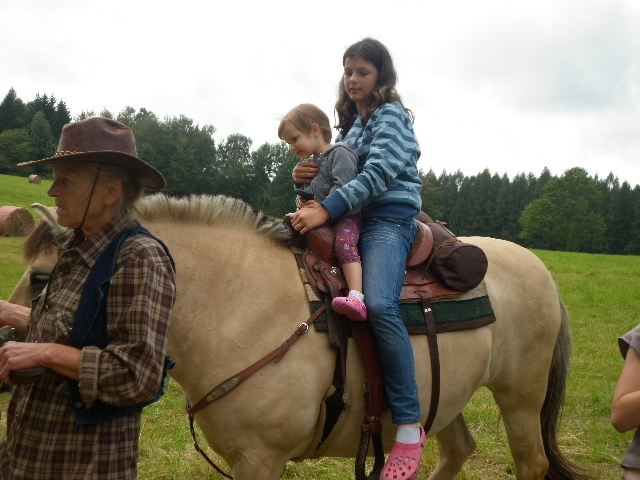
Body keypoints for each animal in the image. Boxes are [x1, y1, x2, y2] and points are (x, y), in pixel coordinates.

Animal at [6, 193, 589, 480]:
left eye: (41, 277)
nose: (6, 352)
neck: (235, 302)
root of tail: (539, 268)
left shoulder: (262, 459)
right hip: (443, 397)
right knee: (458, 448)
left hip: (519, 398)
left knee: (531, 463)